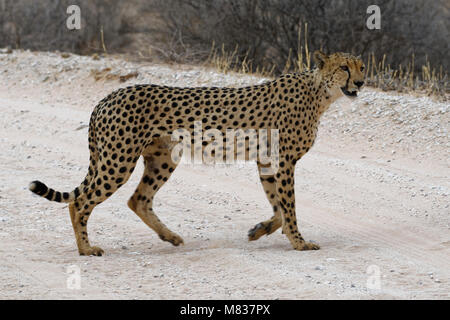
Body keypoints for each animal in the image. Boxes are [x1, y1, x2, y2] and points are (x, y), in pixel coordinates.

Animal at [29, 51, 366, 256]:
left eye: (361, 66)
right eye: (343, 67)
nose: (362, 82)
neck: (320, 92)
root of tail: (107, 97)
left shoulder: (267, 160)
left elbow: (277, 206)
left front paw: (260, 230)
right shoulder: (283, 160)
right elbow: (289, 206)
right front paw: (299, 242)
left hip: (162, 158)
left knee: (138, 199)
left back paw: (170, 237)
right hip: (119, 160)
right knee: (81, 201)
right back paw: (86, 249)